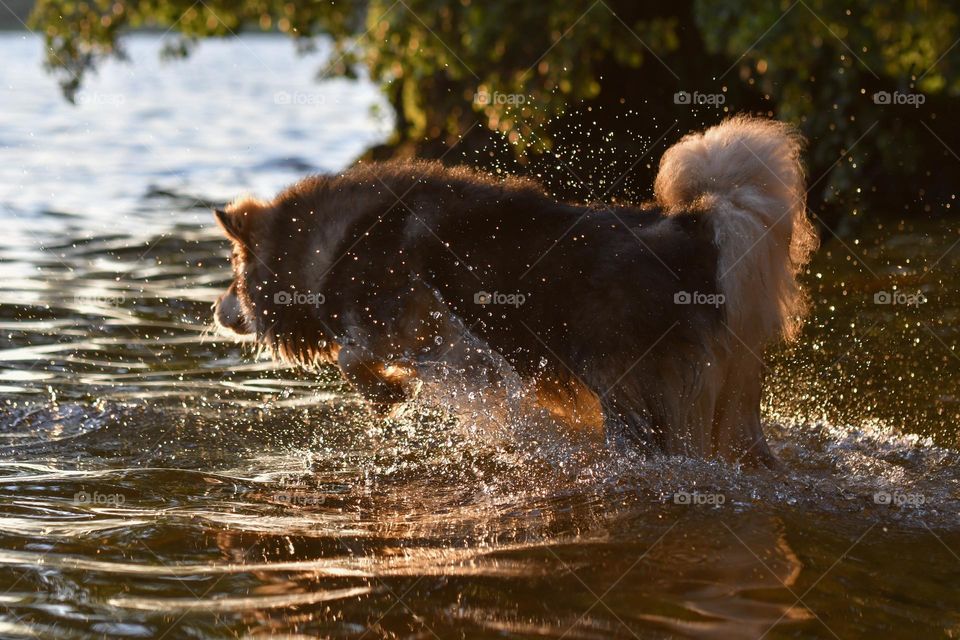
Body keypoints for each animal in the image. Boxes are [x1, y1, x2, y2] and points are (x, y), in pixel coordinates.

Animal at [214, 116, 812, 464]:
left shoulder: (429, 328)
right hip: (729, 402)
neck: (328, 242)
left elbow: (352, 355)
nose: (215, 310)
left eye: (233, 275)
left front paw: (386, 396)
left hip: (625, 388)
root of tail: (693, 228)